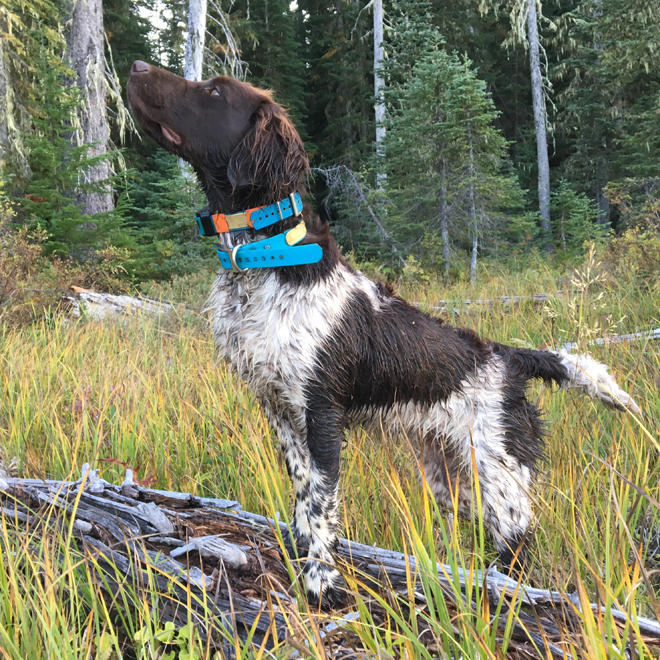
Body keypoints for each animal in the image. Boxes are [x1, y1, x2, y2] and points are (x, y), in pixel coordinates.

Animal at [127, 62, 640, 608]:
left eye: (214, 91)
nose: (136, 67)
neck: (265, 257)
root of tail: (507, 357)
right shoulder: (279, 410)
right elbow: (302, 494)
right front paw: (302, 556)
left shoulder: (322, 412)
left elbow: (322, 505)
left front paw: (322, 581)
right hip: (450, 475)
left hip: (500, 475)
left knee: (519, 547)